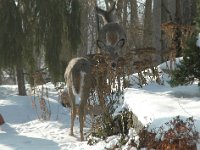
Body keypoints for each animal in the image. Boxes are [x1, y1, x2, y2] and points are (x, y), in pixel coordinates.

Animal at [63, 2, 126, 141]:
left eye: (116, 53)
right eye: (107, 55)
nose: (113, 64)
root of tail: (76, 68)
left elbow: (91, 108)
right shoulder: (99, 83)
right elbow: (101, 102)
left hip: (70, 86)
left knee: (73, 108)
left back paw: (72, 133)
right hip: (86, 85)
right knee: (80, 108)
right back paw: (82, 137)